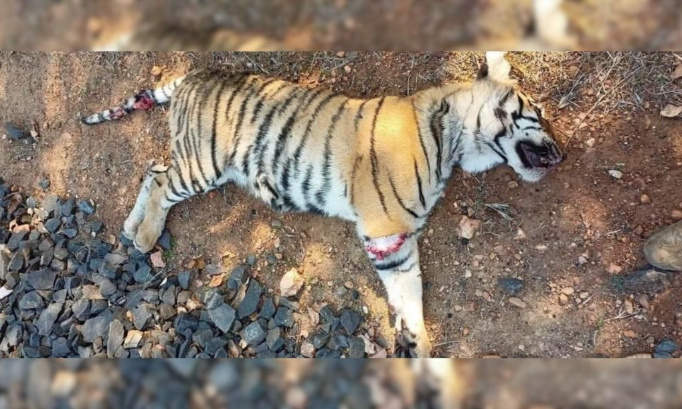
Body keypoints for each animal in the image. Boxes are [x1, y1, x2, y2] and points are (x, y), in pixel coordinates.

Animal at [80, 52, 566, 357]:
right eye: (537, 113)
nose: (561, 155)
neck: (456, 139)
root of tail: (195, 74)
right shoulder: (384, 229)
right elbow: (409, 288)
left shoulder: (396, 241)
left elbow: (409, 293)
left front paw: (417, 344)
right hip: (204, 163)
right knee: (161, 180)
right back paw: (144, 236)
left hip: (194, 160)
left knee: (151, 170)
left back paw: (130, 228)